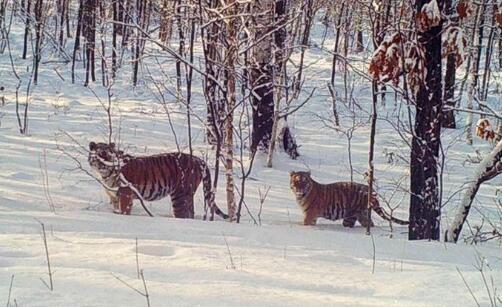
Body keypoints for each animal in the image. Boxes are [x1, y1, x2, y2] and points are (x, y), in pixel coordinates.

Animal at [89, 143, 228, 220]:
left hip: (180, 195)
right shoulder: (114, 197)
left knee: (183, 214)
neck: (106, 175)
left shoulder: (125, 195)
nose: (104, 165)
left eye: (108, 155)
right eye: (99, 155)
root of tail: (198, 159)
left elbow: (124, 212)